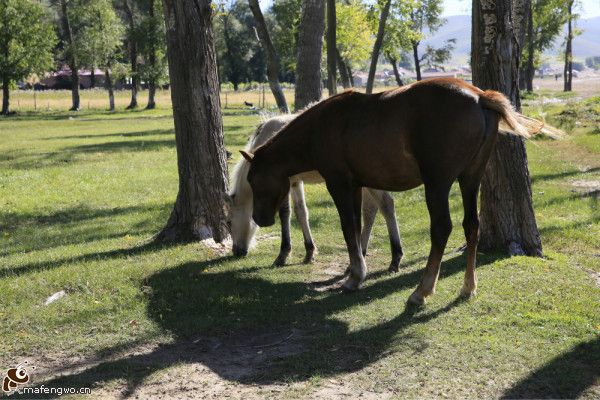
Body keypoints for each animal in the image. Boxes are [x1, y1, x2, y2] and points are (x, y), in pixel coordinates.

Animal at [230, 114, 404, 270]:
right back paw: (363, 251)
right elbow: (301, 211)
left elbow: (285, 213)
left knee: (386, 205)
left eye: (229, 222)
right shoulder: (295, 182)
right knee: (371, 211)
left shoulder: (282, 183)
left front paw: (283, 254)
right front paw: (309, 252)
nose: (236, 252)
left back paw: (394, 258)